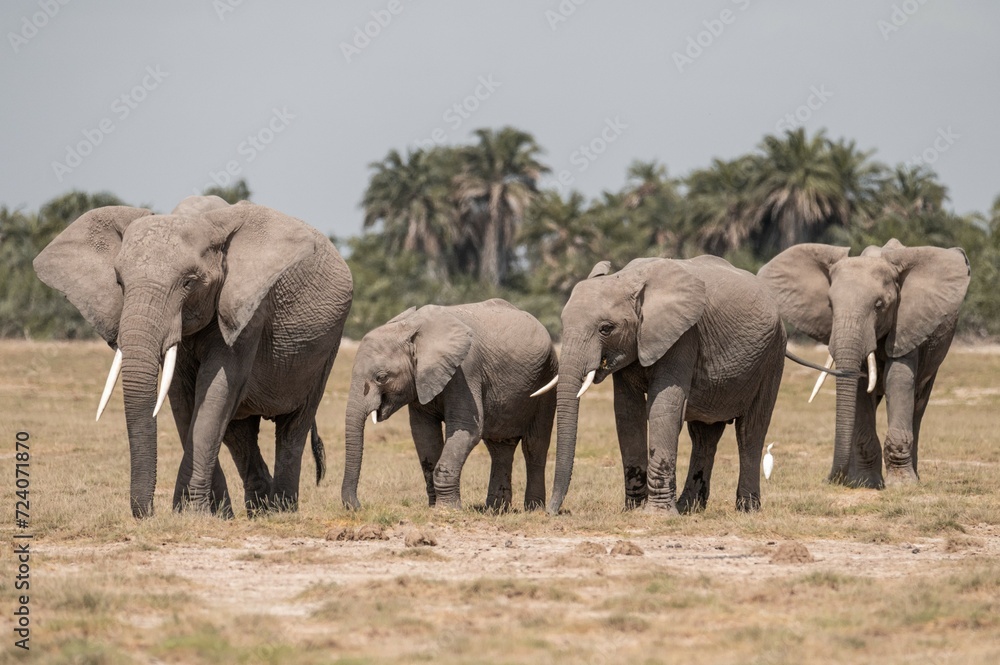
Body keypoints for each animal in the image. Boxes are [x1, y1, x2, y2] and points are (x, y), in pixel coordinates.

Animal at [33, 195, 353, 518]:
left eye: (189, 282)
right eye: (120, 282)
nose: (147, 514)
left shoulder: (249, 310)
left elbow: (215, 392)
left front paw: (191, 513)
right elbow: (183, 399)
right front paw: (206, 515)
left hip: (327, 347)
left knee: (293, 426)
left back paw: (281, 511)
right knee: (240, 434)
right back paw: (257, 512)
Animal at [341, 299, 558, 512]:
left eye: (381, 377)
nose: (357, 506)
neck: (411, 329)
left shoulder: (465, 372)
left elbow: (468, 429)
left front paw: (447, 510)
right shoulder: (421, 382)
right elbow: (424, 434)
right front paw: (433, 507)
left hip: (547, 378)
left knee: (534, 445)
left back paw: (534, 509)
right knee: (500, 447)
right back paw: (495, 510)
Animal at [548, 256, 787, 515]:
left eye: (606, 328)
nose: (554, 511)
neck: (630, 279)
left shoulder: (684, 336)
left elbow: (663, 407)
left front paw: (657, 514)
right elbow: (627, 413)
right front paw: (633, 510)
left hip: (773, 354)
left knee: (750, 430)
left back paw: (747, 509)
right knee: (704, 435)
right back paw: (689, 507)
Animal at [758, 239, 970, 488]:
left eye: (879, 305)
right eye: (830, 305)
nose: (830, 479)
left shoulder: (907, 323)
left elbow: (898, 379)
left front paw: (902, 485)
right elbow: (859, 387)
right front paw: (866, 483)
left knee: (918, 404)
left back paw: (914, 477)